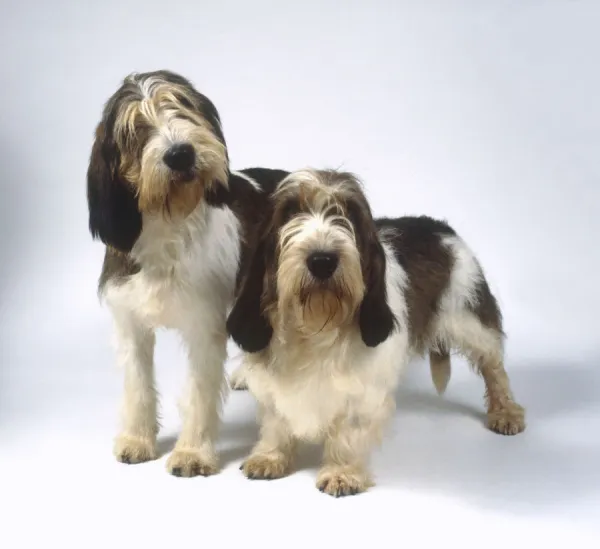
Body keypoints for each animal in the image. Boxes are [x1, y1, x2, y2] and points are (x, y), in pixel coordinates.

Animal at [86, 69, 288, 476]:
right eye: (136, 129)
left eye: (181, 107)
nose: (180, 154)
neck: (167, 224)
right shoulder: (129, 323)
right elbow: (137, 386)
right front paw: (137, 440)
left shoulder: (202, 326)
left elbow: (198, 391)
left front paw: (192, 452)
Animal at [225, 168, 524, 496]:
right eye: (290, 212)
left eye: (348, 214)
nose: (322, 260)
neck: (316, 325)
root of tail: (439, 226)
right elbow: (275, 421)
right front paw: (270, 456)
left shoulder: (362, 387)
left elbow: (349, 429)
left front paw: (342, 472)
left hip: (469, 318)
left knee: (494, 365)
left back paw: (505, 412)